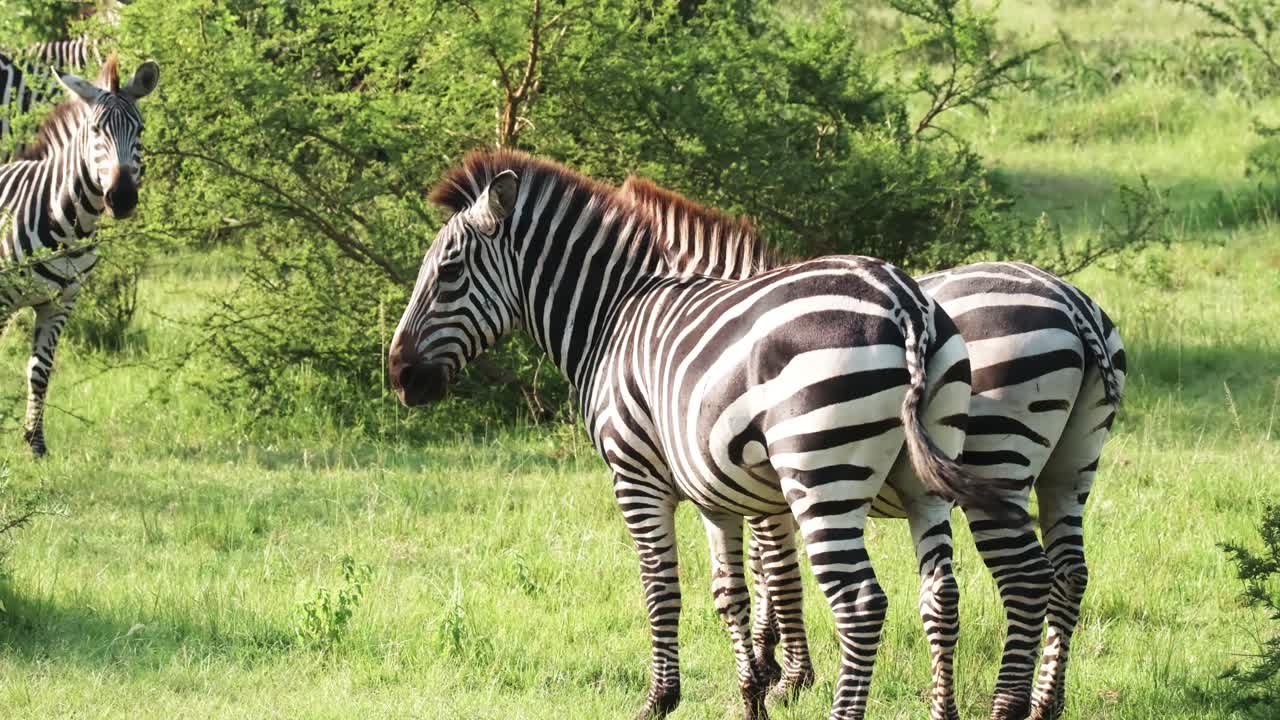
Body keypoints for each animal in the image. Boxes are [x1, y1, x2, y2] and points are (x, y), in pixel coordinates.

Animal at [0, 54, 159, 455]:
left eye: (140, 130)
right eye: (96, 131)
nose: (122, 198)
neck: (69, 221)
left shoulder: (61, 301)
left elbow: (40, 371)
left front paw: (36, 444)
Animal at [389, 149, 1019, 720]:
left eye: (448, 273)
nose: (398, 374)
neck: (611, 316)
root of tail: (905, 303)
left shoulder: (637, 477)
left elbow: (663, 587)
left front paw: (661, 699)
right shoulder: (719, 492)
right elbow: (731, 594)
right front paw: (753, 697)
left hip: (821, 477)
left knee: (860, 604)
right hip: (923, 483)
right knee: (941, 596)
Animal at [618, 177, 1127, 720]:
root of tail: (1071, 302)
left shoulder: (766, 474)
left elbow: (772, 564)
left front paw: (783, 672)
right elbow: (766, 563)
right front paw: (771, 660)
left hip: (1000, 458)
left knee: (1029, 577)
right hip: (1069, 466)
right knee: (1070, 572)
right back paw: (1046, 701)